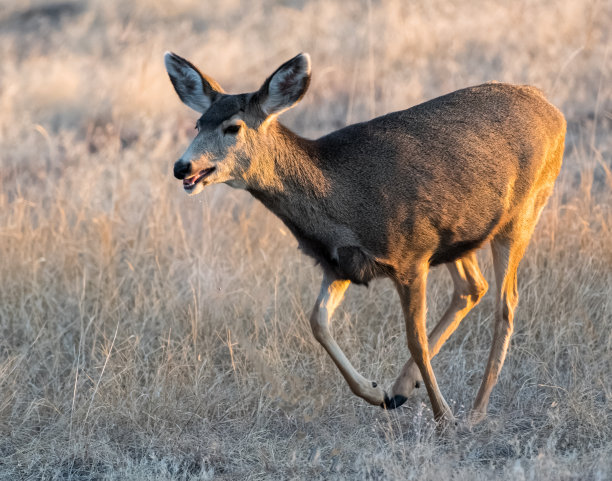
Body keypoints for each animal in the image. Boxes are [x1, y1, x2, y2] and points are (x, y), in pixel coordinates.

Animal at [163, 51, 564, 428]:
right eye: (198, 123)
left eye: (233, 127)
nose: (183, 167)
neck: (339, 198)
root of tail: (552, 109)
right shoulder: (340, 263)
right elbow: (317, 322)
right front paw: (376, 391)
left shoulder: (411, 253)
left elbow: (415, 339)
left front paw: (444, 419)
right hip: (459, 232)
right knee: (473, 287)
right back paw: (402, 390)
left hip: (524, 211)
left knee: (506, 304)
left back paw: (475, 412)